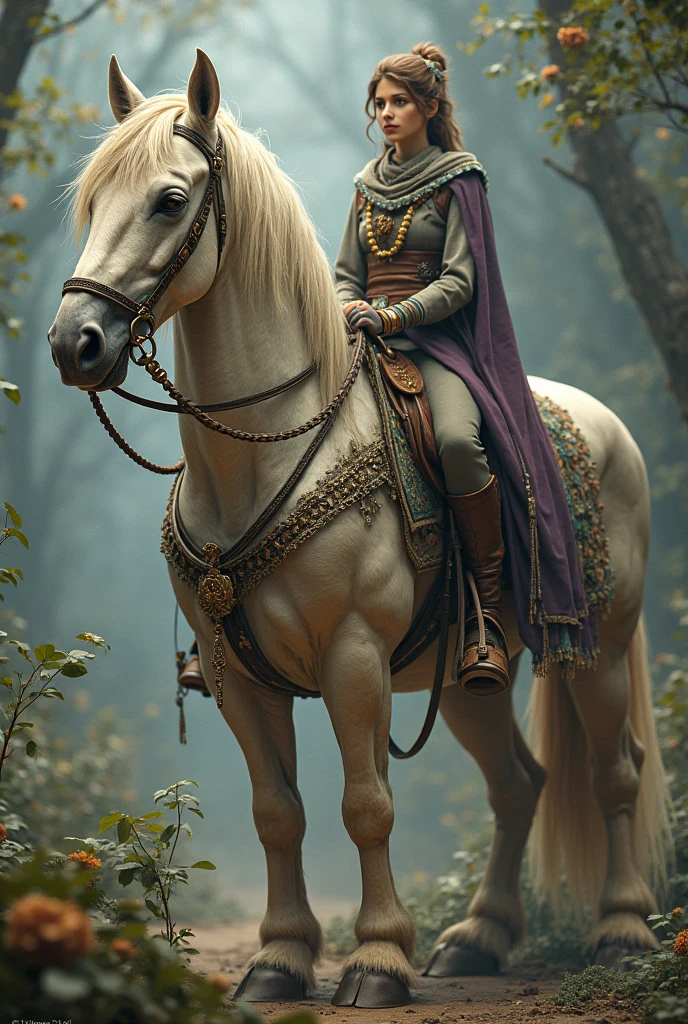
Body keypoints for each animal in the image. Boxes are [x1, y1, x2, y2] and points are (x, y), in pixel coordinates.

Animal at [49, 50, 672, 1008]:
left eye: (169, 200)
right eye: (94, 201)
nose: (74, 341)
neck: (267, 450)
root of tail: (605, 424)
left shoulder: (352, 653)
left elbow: (365, 803)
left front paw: (377, 960)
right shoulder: (234, 672)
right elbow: (278, 813)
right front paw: (278, 959)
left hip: (599, 644)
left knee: (615, 772)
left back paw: (623, 931)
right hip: (471, 678)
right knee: (517, 785)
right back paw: (476, 940)